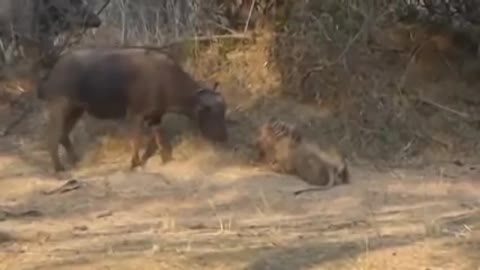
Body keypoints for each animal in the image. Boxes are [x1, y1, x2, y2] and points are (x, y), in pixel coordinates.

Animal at [37, 47, 229, 172]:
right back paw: (59, 168)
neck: (165, 79)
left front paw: (166, 159)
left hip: (76, 110)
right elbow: (136, 140)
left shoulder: (155, 117)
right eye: (211, 112)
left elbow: (159, 138)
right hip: (60, 107)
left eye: (223, 112)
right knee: (52, 136)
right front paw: (134, 163)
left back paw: (75, 161)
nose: (224, 137)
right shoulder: (135, 115)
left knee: (63, 135)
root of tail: (55, 68)